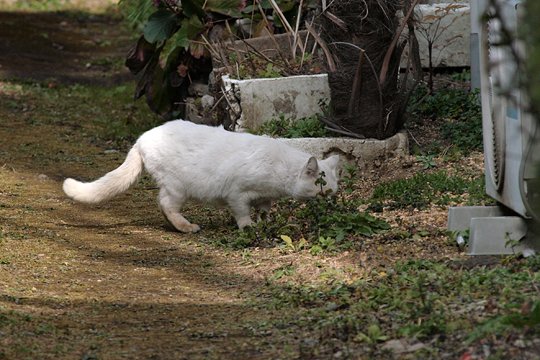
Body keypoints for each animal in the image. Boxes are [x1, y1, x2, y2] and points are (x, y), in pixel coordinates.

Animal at [63, 119, 340, 232]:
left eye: (334, 192)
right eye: (323, 191)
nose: (332, 203)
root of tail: (142, 138)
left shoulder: (264, 197)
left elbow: (265, 210)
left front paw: (266, 223)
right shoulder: (237, 194)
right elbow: (242, 213)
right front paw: (248, 227)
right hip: (178, 187)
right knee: (165, 204)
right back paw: (186, 227)